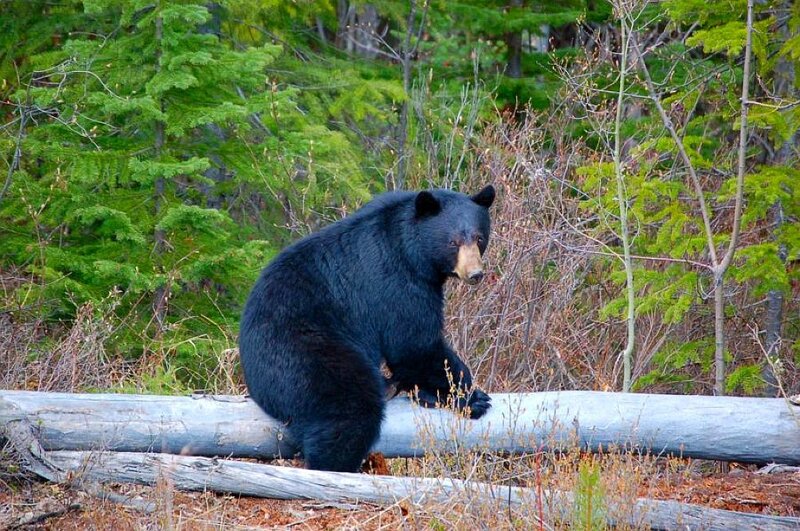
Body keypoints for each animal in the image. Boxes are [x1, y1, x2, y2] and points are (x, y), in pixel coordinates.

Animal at [239, 185, 495, 472]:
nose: (475, 273)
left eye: (479, 238)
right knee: (348, 408)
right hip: (300, 352)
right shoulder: (398, 282)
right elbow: (414, 344)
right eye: (453, 242)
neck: (411, 250)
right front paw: (471, 397)